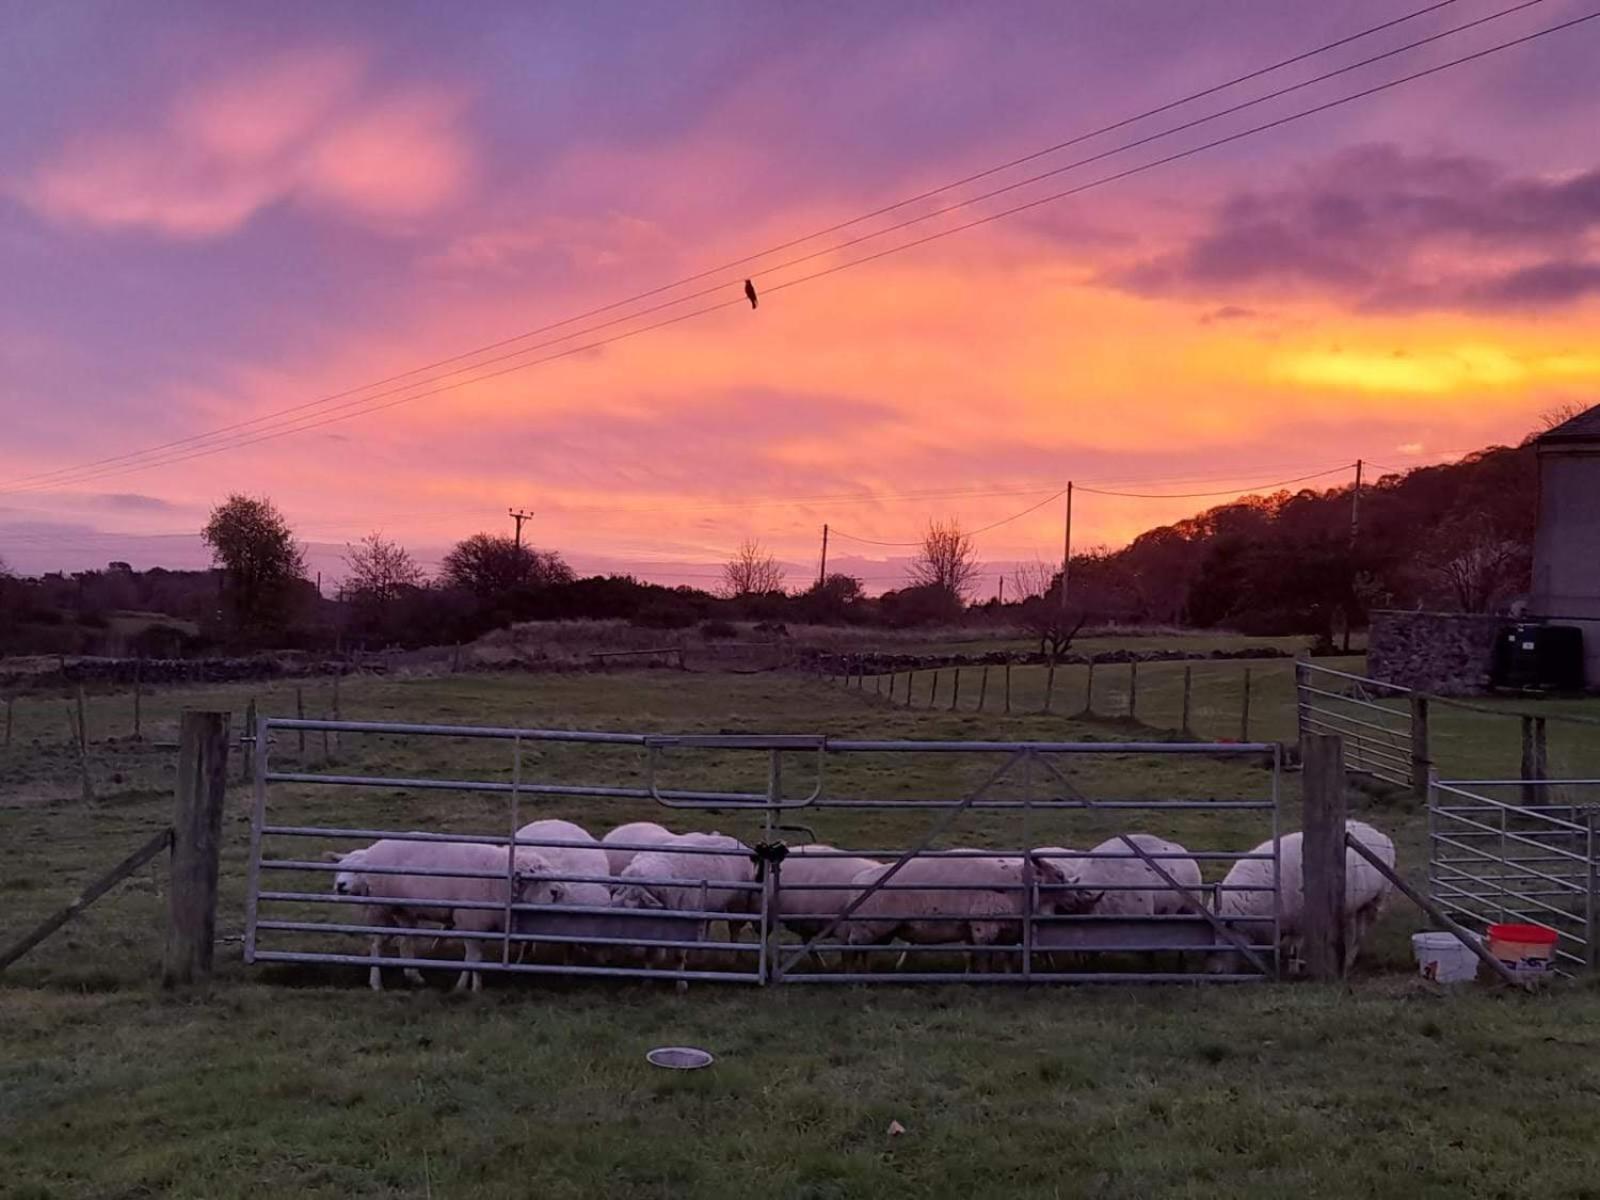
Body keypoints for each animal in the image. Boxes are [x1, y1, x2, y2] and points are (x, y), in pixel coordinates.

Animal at [1209, 819, 1401, 979]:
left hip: (1376, 900)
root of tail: (1380, 835)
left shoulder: (1298, 920)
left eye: (1220, 947)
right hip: (1357, 904)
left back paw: (1349, 960)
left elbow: (1294, 948)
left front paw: (1293, 969)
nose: (1215, 973)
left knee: (1361, 932)